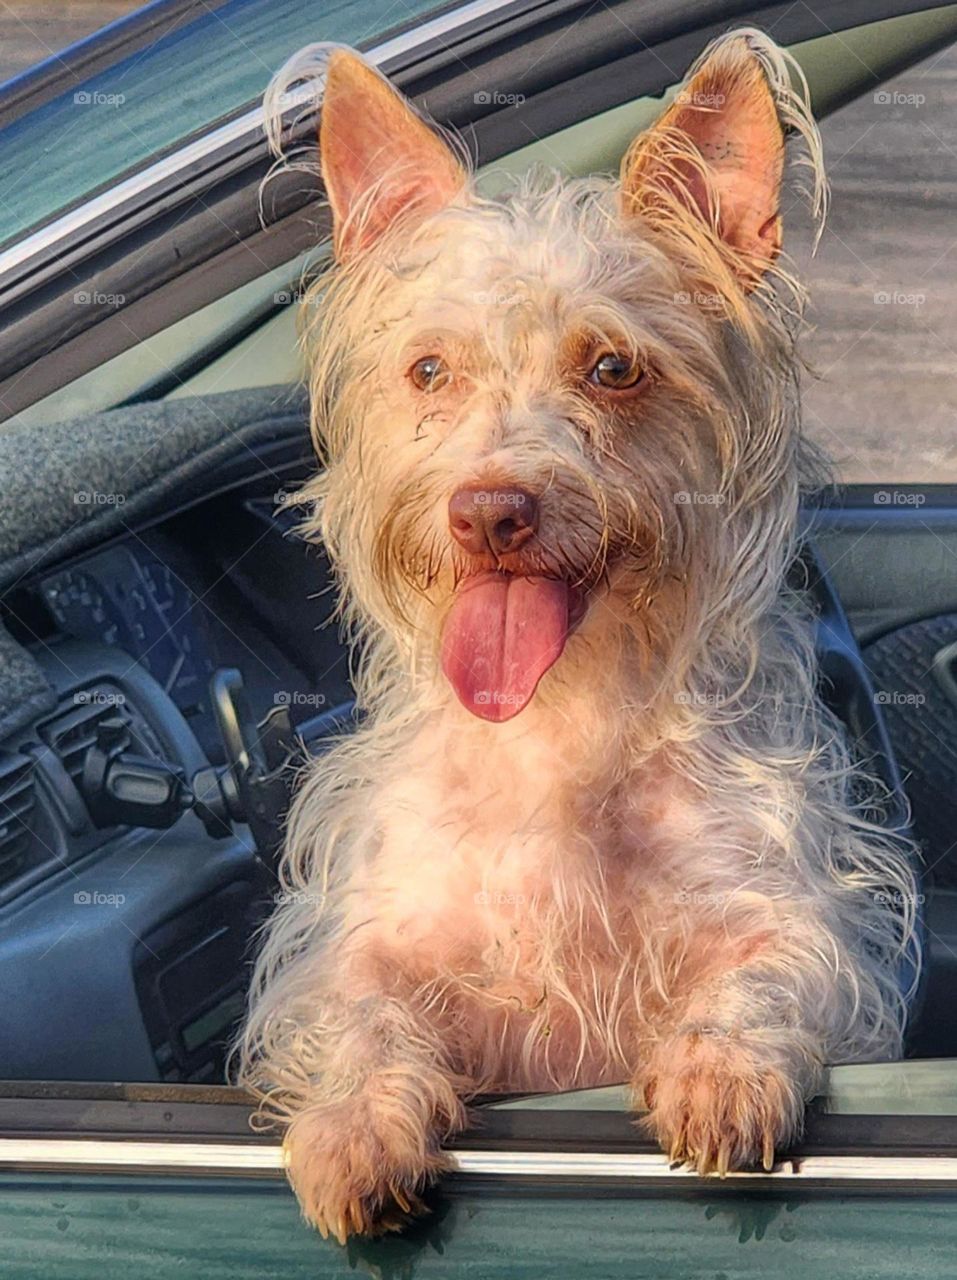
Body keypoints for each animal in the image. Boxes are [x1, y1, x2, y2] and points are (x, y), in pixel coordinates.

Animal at [235, 27, 916, 1239]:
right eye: (429, 370)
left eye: (612, 367)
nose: (489, 511)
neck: (559, 718)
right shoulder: (353, 947)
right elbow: (359, 1014)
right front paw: (354, 1124)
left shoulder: (810, 926)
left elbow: (765, 969)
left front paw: (721, 1066)